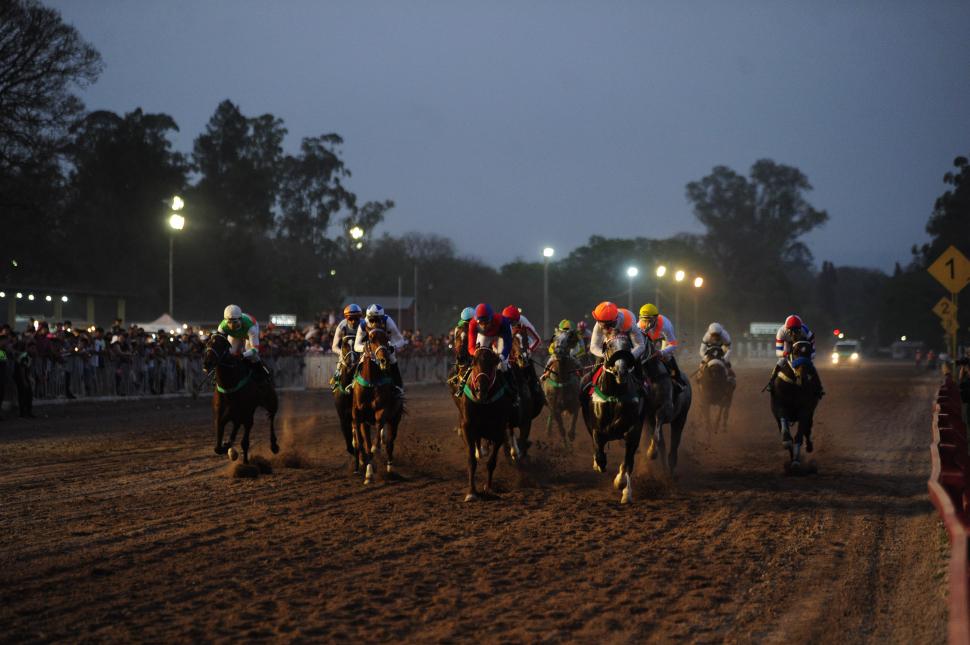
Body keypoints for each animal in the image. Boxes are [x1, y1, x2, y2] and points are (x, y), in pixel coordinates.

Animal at [202, 334, 278, 466]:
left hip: (270, 401)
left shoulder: (246, 415)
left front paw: (243, 459)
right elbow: (217, 448)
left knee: (271, 416)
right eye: (208, 344)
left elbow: (244, 442)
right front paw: (227, 445)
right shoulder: (220, 416)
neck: (229, 387)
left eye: (221, 345)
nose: (207, 363)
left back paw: (273, 446)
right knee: (237, 426)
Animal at [350, 328, 402, 484]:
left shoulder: (382, 410)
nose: (384, 360)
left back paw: (390, 469)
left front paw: (375, 448)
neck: (371, 382)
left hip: (395, 419)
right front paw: (368, 473)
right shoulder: (361, 417)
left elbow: (379, 425)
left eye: (386, 338)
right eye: (371, 339)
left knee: (390, 442)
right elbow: (365, 444)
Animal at [460, 348, 520, 504]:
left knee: (510, 430)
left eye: (493, 363)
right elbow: (471, 461)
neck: (483, 403)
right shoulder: (468, 428)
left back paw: (514, 451)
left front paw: (488, 488)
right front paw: (471, 492)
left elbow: (491, 463)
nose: (481, 389)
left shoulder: (499, 430)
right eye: (473, 362)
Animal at [584, 334, 644, 506]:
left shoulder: (633, 431)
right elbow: (600, 455)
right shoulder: (597, 430)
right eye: (610, 346)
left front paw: (626, 492)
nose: (621, 372)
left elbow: (628, 463)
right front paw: (599, 465)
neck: (615, 395)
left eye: (628, 345)